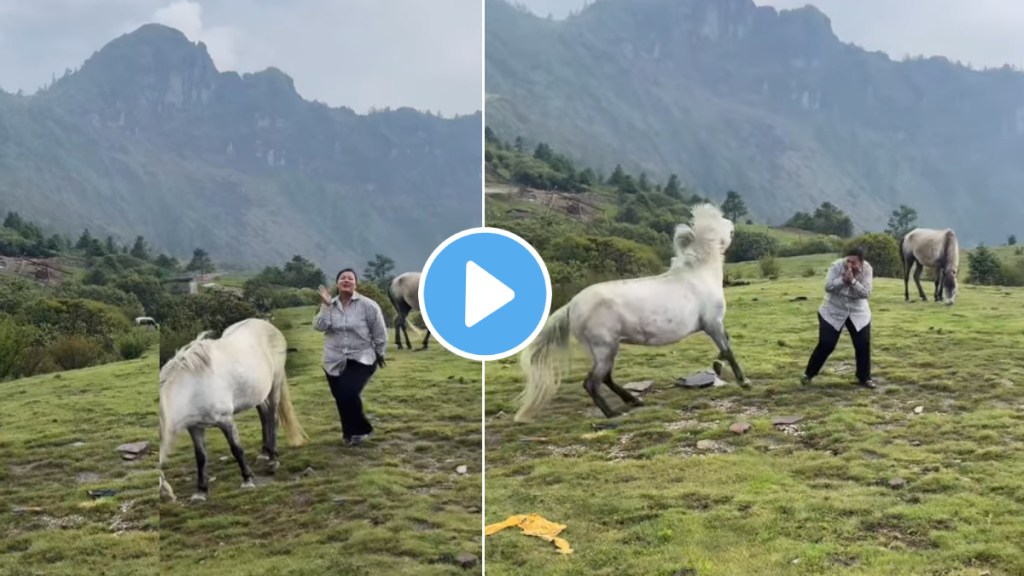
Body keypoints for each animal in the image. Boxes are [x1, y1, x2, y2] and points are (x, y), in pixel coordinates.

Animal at [158, 318, 308, 503]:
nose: (167, 496)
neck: (192, 388)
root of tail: (268, 325)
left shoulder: (226, 420)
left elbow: (236, 448)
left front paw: (247, 480)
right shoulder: (195, 428)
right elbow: (200, 458)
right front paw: (201, 492)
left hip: (275, 384)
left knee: (273, 418)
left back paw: (273, 460)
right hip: (257, 393)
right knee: (264, 417)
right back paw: (264, 454)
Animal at [515, 203, 751, 422]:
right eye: (720, 220)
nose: (732, 225)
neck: (699, 274)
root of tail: (572, 304)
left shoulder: (713, 324)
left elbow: (726, 345)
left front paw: (720, 364)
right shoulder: (712, 323)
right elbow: (728, 349)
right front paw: (743, 381)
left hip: (603, 348)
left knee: (605, 378)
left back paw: (634, 400)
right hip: (604, 347)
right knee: (592, 382)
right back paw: (612, 413)